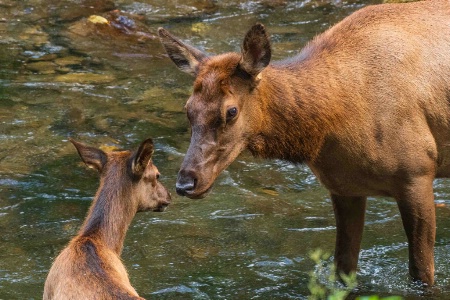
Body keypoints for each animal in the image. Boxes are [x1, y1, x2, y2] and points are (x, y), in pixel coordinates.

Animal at [160, 0, 450, 286]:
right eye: (188, 109)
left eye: (231, 111)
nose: (185, 183)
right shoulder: (344, 188)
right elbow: (342, 271)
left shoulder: (417, 174)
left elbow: (422, 273)